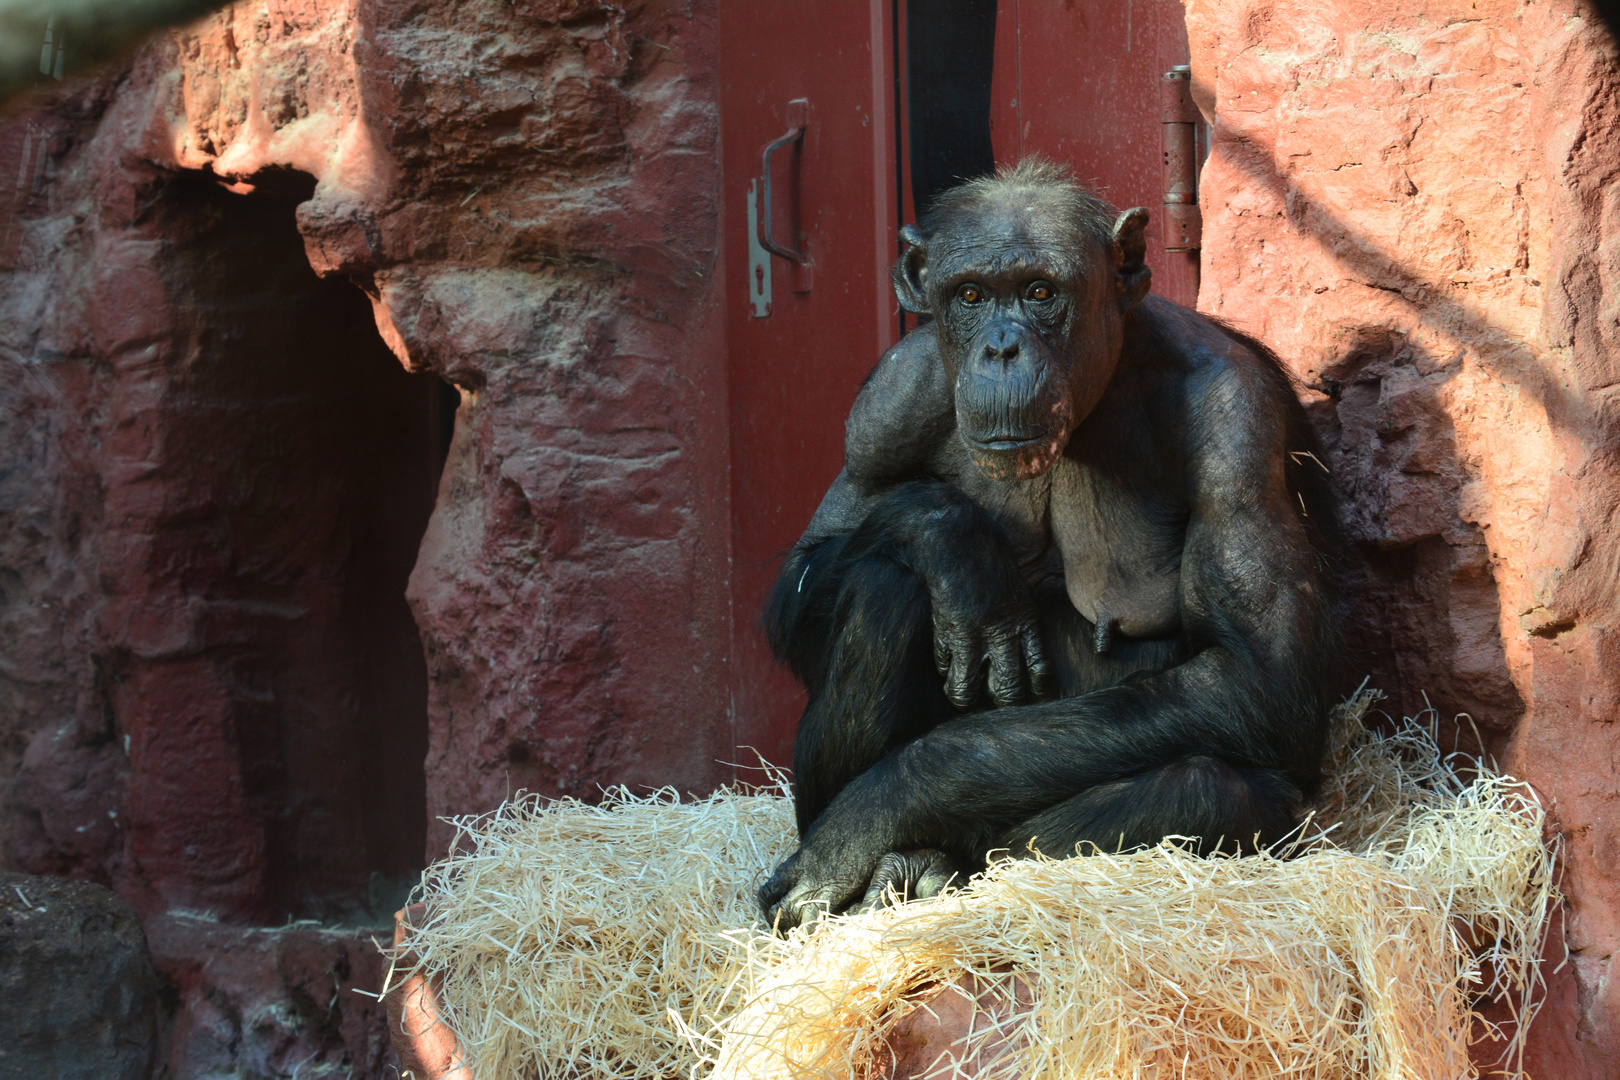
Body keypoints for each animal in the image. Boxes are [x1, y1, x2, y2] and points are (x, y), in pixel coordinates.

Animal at [758, 158, 1341, 932]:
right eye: (970, 294)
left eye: (1040, 292)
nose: (1002, 347)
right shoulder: (887, 404)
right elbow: (803, 579)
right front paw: (956, 549)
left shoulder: (1237, 425)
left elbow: (1258, 679)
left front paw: (873, 812)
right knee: (885, 585)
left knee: (1205, 788)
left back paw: (929, 865)